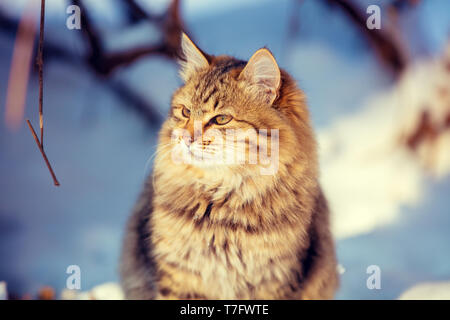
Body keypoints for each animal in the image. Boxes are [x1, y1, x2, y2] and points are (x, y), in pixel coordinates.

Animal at [119, 33, 338, 300]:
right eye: (185, 112)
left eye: (221, 119)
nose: (186, 139)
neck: (221, 205)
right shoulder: (180, 277)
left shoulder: (274, 280)